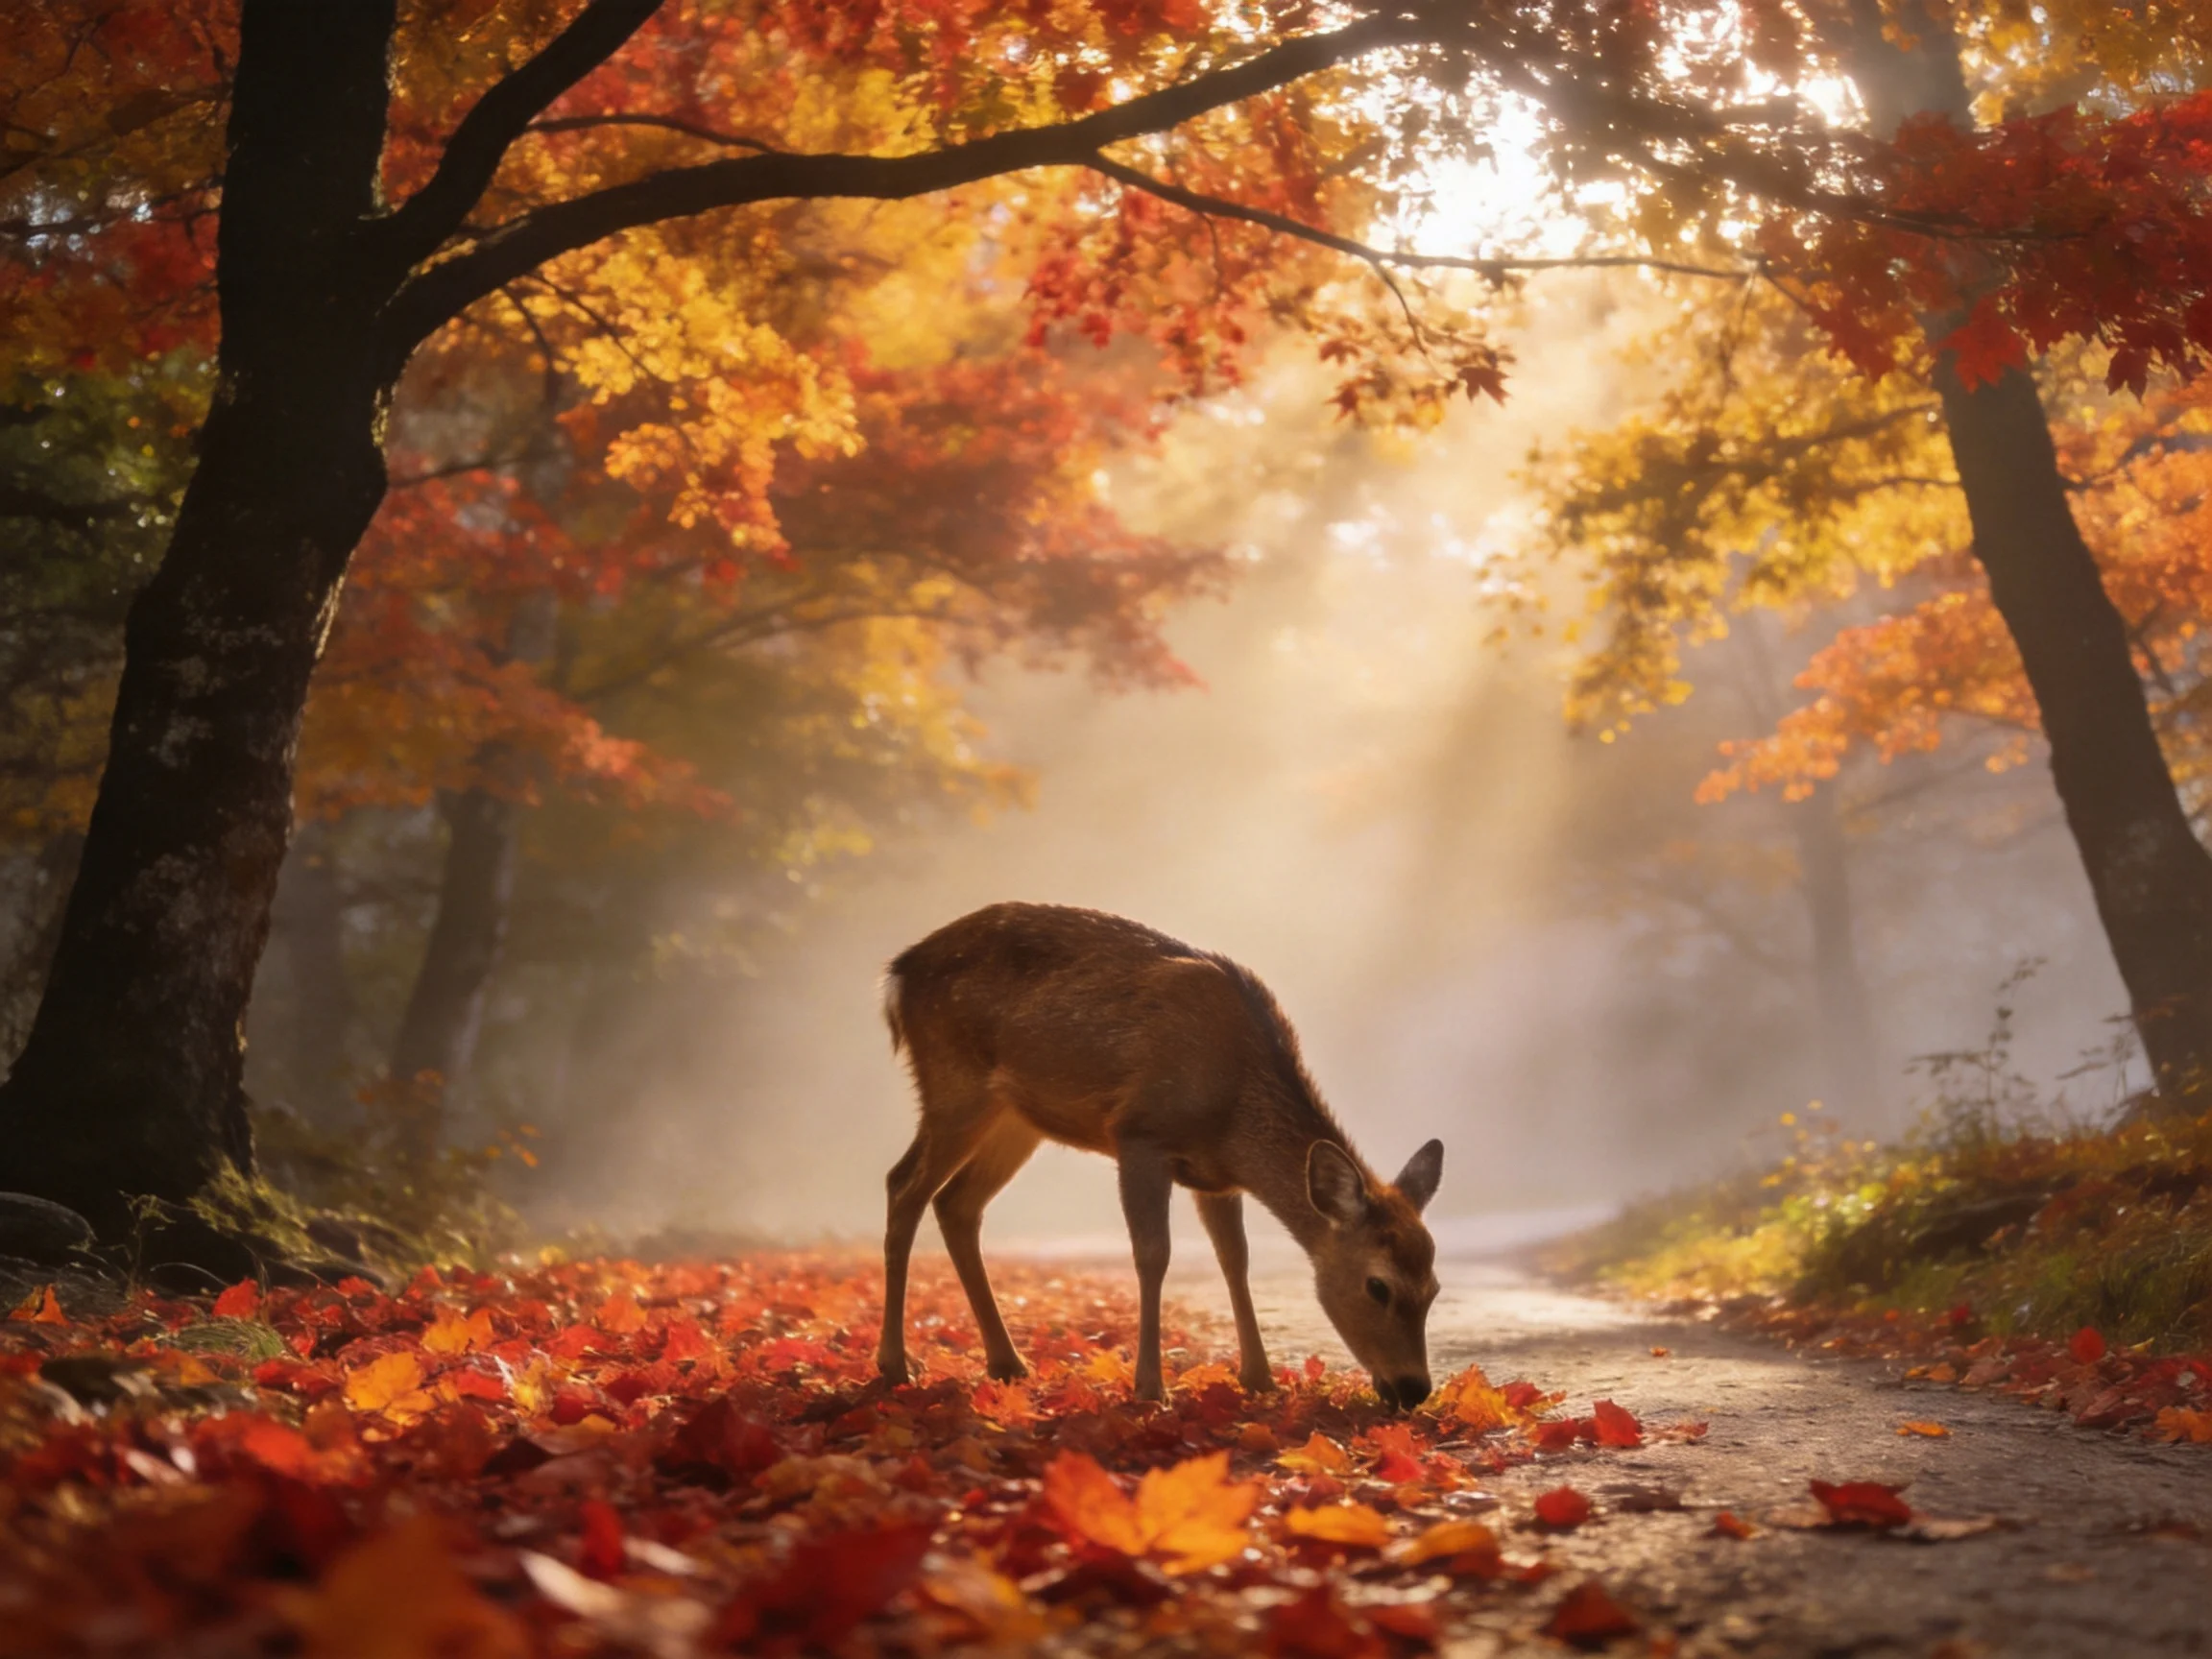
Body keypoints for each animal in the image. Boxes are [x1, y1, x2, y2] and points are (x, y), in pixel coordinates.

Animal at [877, 902, 1444, 1409]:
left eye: (1434, 1288)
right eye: (1378, 1286)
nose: (1414, 1389)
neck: (1233, 1114)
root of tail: (898, 974)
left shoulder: (1218, 1178)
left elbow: (1235, 1260)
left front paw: (1260, 1380)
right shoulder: (1140, 1134)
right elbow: (1154, 1254)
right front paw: (1151, 1389)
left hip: (1015, 1119)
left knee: (956, 1203)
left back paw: (1007, 1364)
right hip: (954, 1082)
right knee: (903, 1185)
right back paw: (896, 1364)